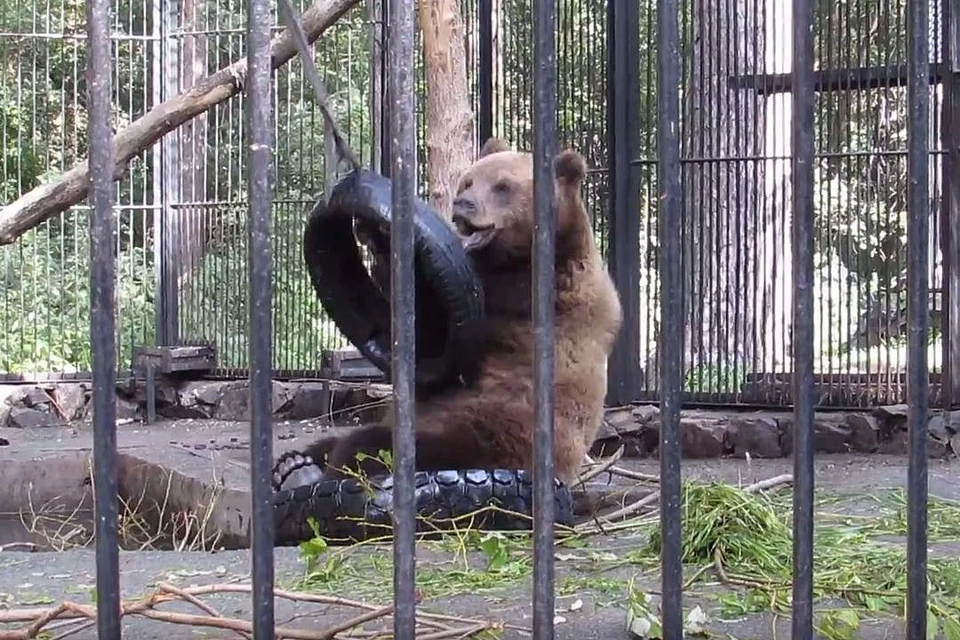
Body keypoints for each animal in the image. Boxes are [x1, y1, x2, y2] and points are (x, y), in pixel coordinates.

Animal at [278, 138, 624, 488]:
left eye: (503, 187)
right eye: (468, 181)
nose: (463, 204)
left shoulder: (527, 304)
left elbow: (440, 333)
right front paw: (373, 232)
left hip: (491, 433)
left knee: (378, 445)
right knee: (328, 442)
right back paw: (293, 464)